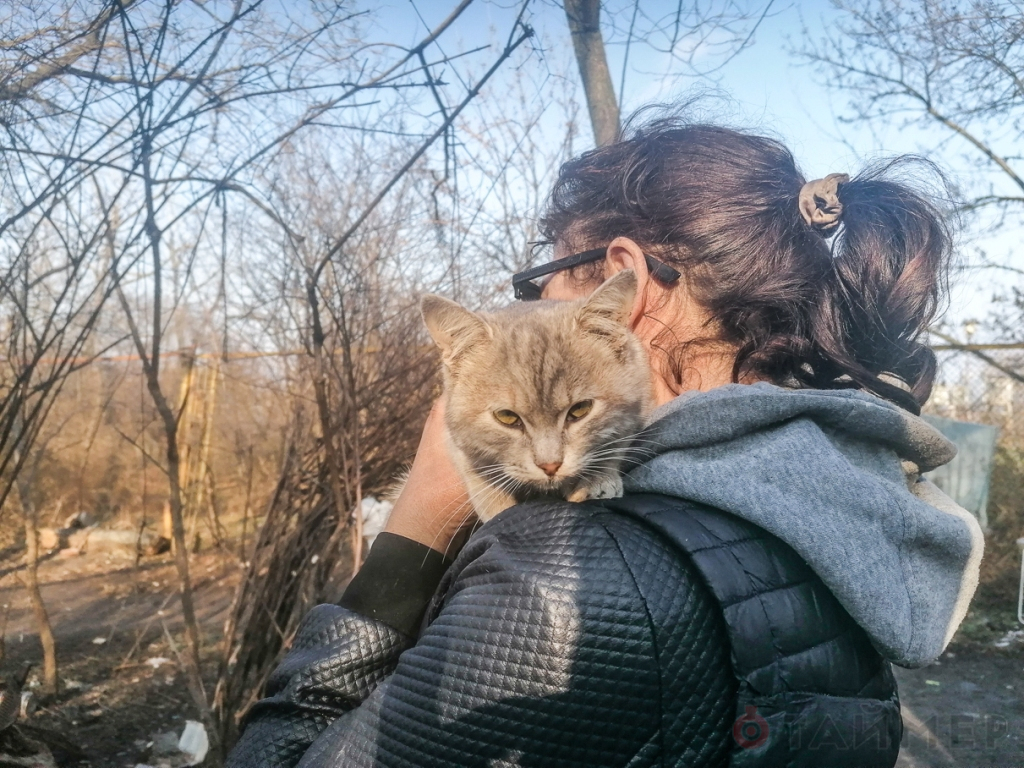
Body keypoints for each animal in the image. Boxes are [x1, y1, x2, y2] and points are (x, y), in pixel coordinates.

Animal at [421, 269, 653, 521]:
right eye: (507, 417)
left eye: (580, 409)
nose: (550, 466)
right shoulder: (456, 443)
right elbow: (482, 482)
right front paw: (497, 508)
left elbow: (616, 443)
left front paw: (597, 480)